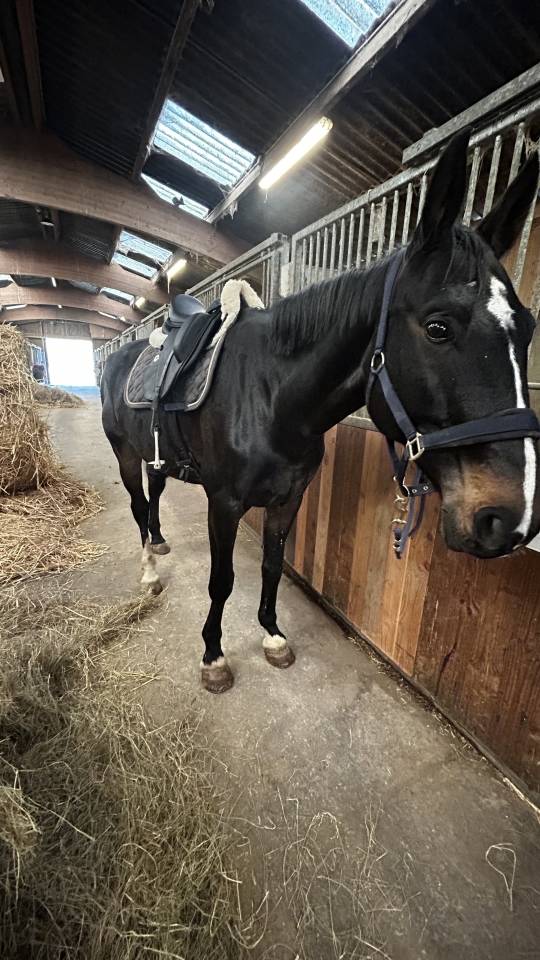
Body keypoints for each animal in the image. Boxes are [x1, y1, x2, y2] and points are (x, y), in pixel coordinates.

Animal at [101, 132, 540, 693]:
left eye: (527, 328)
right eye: (438, 327)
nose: (509, 518)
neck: (270, 398)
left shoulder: (289, 498)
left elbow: (271, 566)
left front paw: (272, 636)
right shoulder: (224, 502)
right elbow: (223, 579)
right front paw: (214, 656)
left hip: (153, 454)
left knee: (153, 498)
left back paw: (158, 545)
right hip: (124, 453)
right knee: (138, 504)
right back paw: (150, 573)